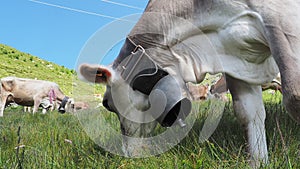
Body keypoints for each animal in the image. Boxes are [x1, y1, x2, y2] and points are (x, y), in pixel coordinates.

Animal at [78, 0, 298, 168]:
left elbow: (294, 97)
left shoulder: (280, 20)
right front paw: (259, 162)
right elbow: (248, 113)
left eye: (107, 104)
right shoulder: (238, 61)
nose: (129, 155)